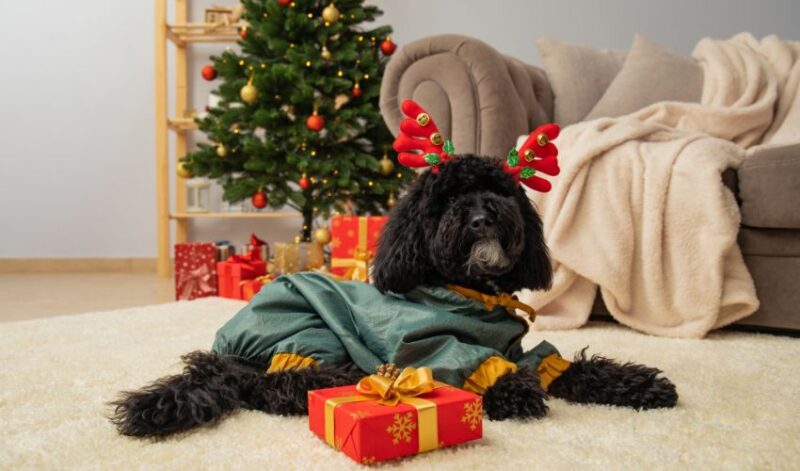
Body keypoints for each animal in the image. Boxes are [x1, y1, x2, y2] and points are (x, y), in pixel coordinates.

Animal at [111, 156, 676, 438]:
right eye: (446, 199)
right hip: (305, 327)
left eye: (500, 191)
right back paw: (341, 379)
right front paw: (512, 392)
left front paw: (642, 386)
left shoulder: (525, 350)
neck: (473, 294)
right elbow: (474, 360)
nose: (483, 215)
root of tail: (220, 354)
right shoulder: (423, 342)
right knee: (272, 386)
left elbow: (571, 367)